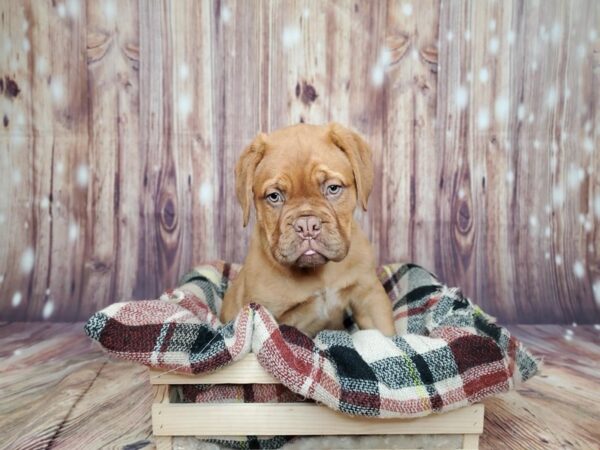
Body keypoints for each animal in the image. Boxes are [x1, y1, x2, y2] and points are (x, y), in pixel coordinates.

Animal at [218, 123, 396, 338]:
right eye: (274, 196)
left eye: (333, 188)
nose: (307, 225)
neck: (318, 272)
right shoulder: (267, 315)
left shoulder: (368, 294)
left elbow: (385, 333)